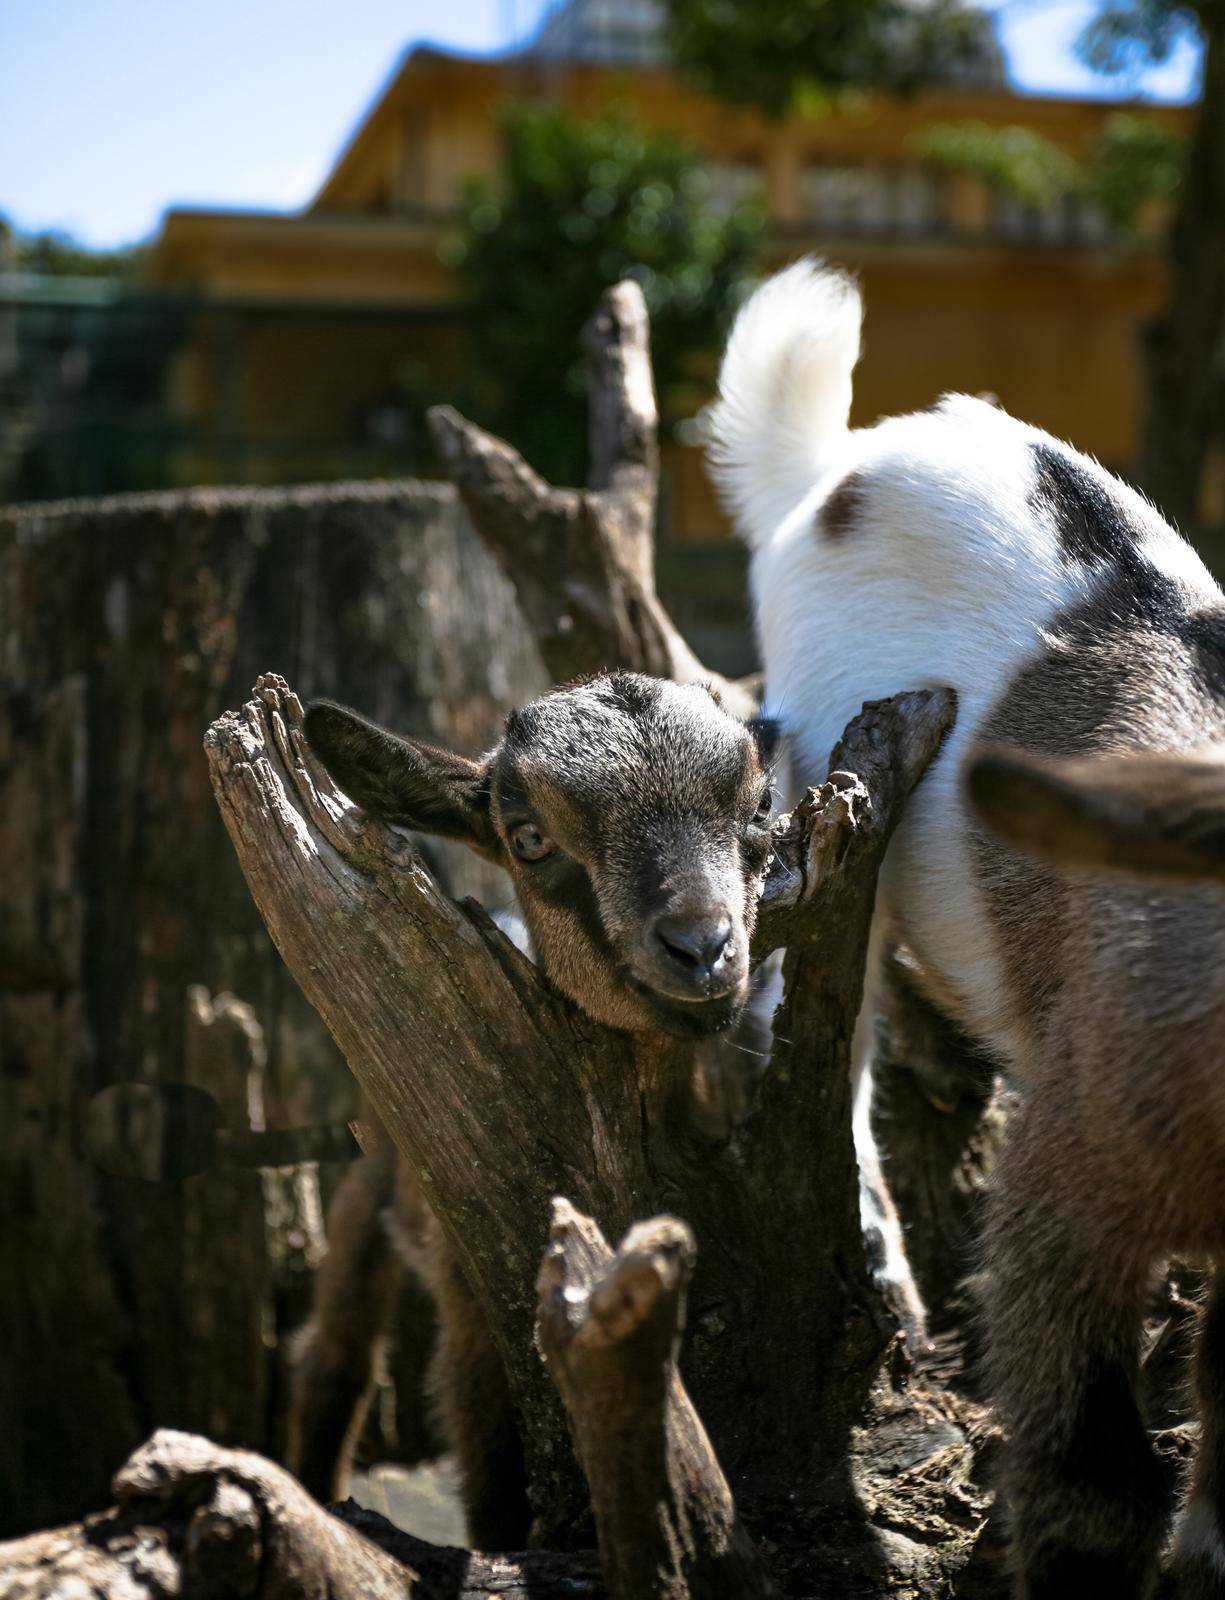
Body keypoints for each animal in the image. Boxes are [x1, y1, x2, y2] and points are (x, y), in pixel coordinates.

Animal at [297, 672, 777, 1548]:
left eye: (759, 807)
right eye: (529, 840)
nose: (700, 947)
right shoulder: (479, 1313)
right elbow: (491, 1475)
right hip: (376, 1173)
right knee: (332, 1354)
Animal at [716, 259, 1225, 1600]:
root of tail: (837, 465)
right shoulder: (1078, 1155)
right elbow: (1082, 1415)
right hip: (829, 804)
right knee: (824, 1038)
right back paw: (883, 1278)